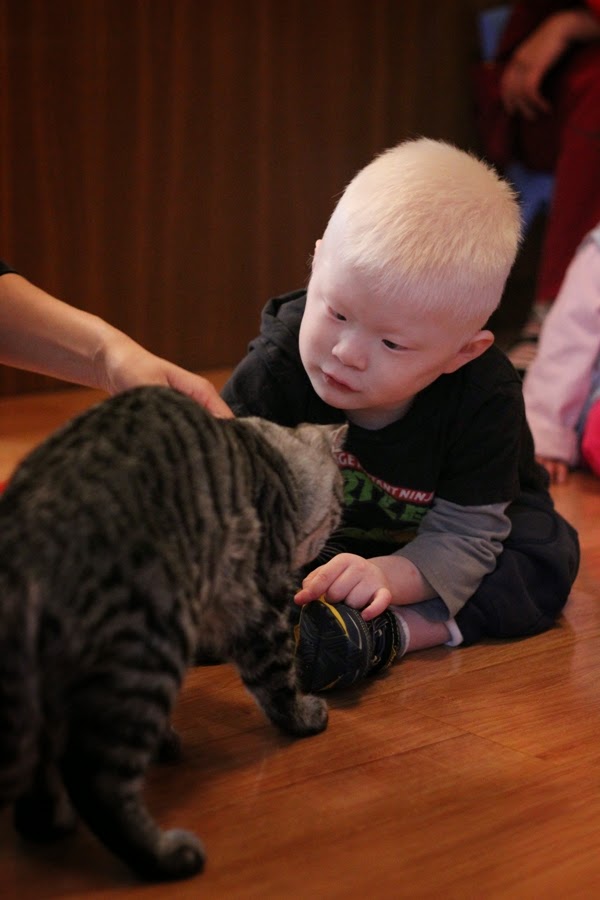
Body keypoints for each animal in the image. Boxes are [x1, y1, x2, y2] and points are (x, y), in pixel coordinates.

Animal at [0, 385, 346, 882]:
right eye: (340, 498)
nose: (338, 524)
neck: (273, 459)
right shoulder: (260, 606)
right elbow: (278, 680)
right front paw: (304, 717)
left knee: (44, 777)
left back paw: (53, 825)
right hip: (150, 649)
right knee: (95, 779)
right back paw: (168, 857)